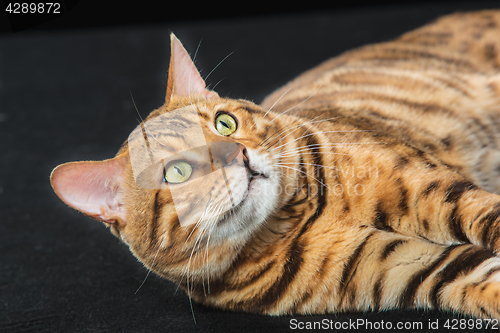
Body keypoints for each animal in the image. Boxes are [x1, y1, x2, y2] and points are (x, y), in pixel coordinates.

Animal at [51, 9, 500, 318]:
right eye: (177, 172)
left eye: (225, 123)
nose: (237, 154)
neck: (295, 222)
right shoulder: (405, 263)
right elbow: (481, 274)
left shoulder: (427, 186)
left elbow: (487, 217)